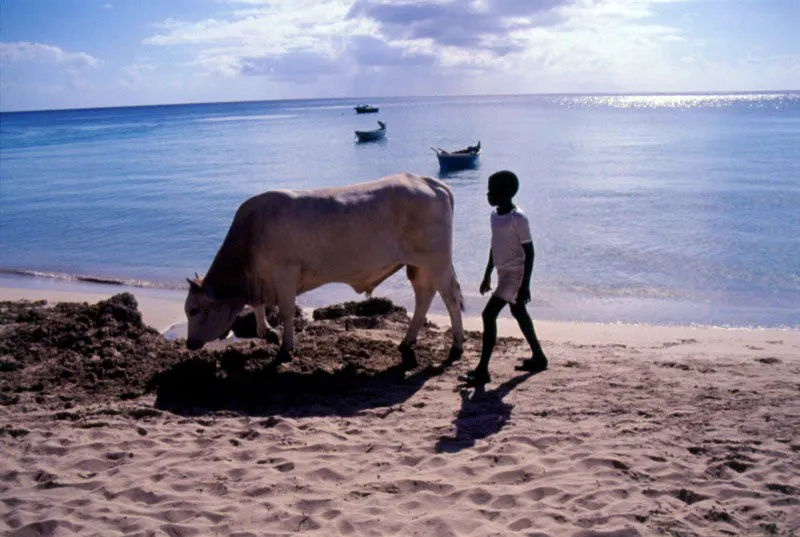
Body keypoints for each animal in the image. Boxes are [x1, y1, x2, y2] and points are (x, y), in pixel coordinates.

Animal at [184, 172, 466, 360]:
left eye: (193, 310)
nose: (189, 344)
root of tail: (430, 182)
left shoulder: (285, 272)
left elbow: (286, 311)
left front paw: (286, 348)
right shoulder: (262, 282)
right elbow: (258, 307)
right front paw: (268, 332)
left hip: (437, 261)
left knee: (450, 296)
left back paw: (457, 346)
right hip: (419, 265)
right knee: (424, 296)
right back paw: (407, 341)